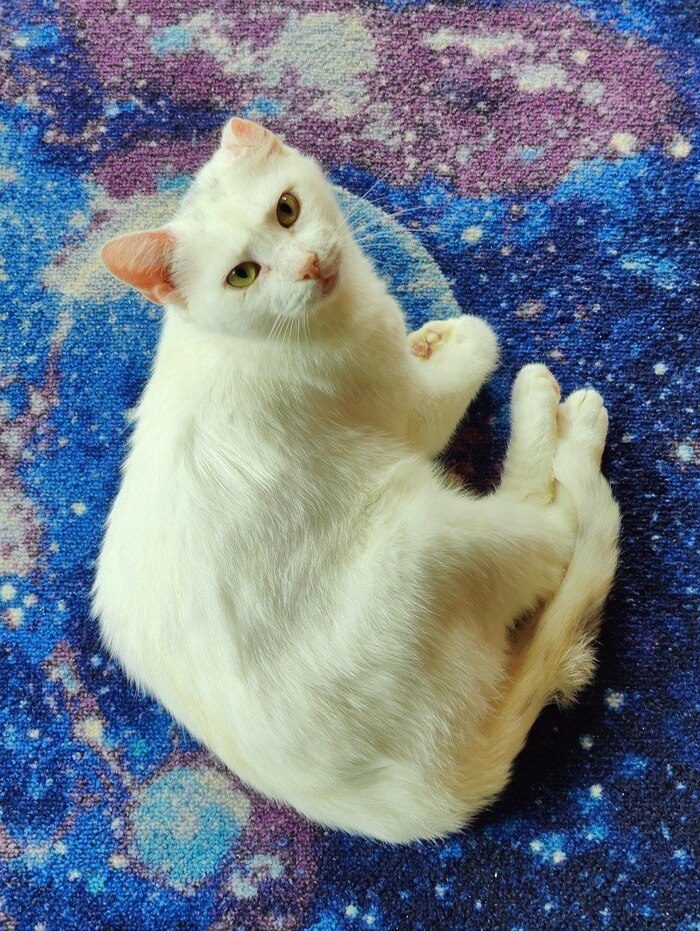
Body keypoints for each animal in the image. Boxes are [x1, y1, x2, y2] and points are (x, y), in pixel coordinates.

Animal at [93, 117, 620, 843]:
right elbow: (478, 348)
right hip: (435, 533)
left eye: (287, 209)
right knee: (558, 524)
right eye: (243, 275)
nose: (310, 266)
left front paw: (430, 337)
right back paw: (562, 417)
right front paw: (466, 342)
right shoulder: (411, 414)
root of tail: (428, 798)